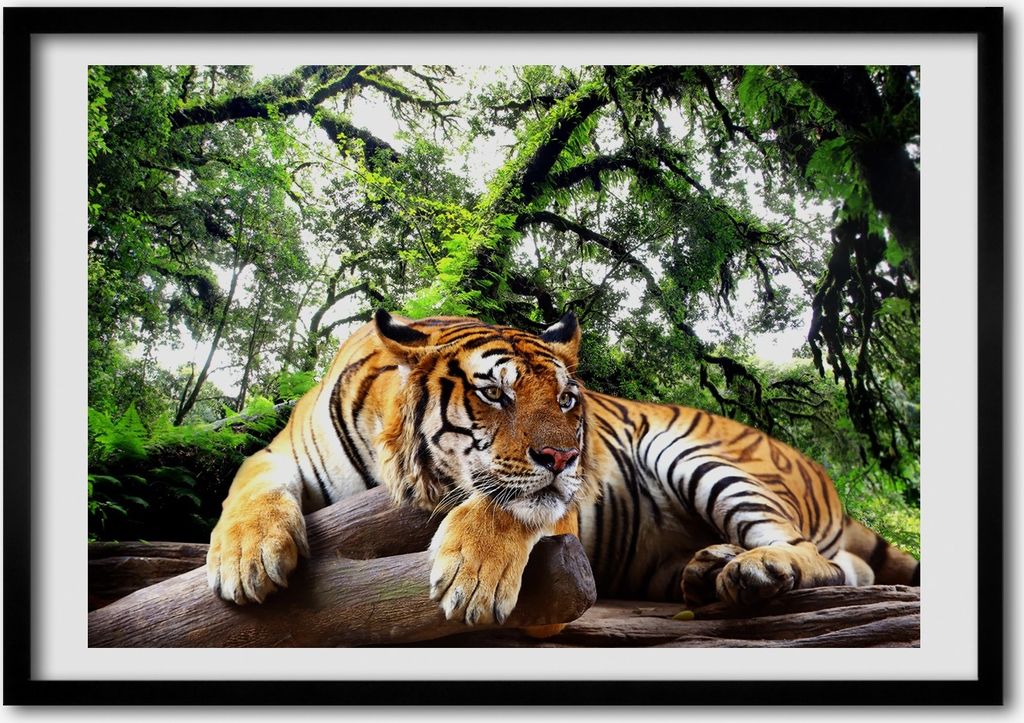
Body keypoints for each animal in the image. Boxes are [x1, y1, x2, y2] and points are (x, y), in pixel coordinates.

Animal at [207, 310, 919, 628]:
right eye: (495, 393)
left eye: (568, 399)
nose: (566, 456)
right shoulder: (277, 454)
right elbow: (248, 487)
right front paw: (246, 558)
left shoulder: (555, 504)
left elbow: (512, 504)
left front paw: (472, 577)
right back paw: (709, 567)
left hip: (701, 457)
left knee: (823, 561)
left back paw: (753, 570)